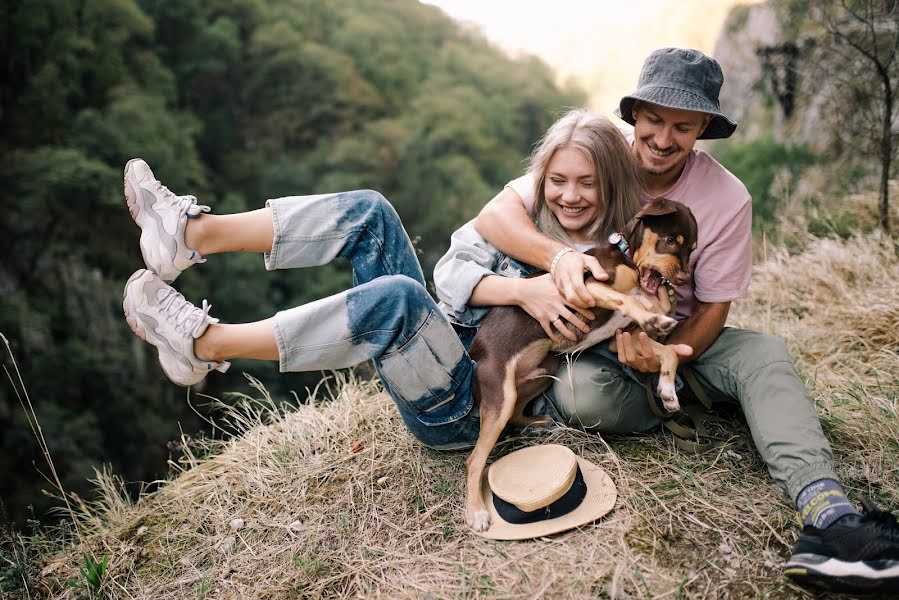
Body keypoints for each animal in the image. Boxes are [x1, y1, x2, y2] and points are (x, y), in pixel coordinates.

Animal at [468, 197, 700, 528]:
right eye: (669, 240)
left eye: (692, 249)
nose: (682, 280)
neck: (629, 259)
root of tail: (475, 351)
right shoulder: (586, 286)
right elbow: (627, 299)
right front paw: (651, 317)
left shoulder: (624, 337)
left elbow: (669, 352)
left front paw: (667, 392)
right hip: (500, 393)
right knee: (475, 459)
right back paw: (475, 511)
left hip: (543, 373)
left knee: (515, 414)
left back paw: (540, 421)